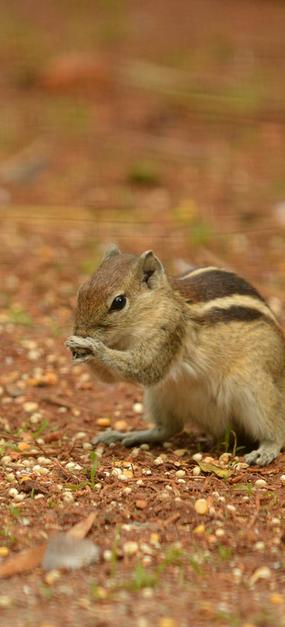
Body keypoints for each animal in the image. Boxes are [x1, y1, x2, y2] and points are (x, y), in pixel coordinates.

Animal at [65, 245, 284, 466]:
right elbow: (108, 378)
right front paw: (75, 346)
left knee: (276, 429)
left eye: (119, 302)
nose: (82, 331)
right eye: (82, 290)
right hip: (161, 396)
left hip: (256, 391)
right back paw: (125, 435)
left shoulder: (169, 334)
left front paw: (91, 346)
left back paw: (265, 451)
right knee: (168, 429)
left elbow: (144, 368)